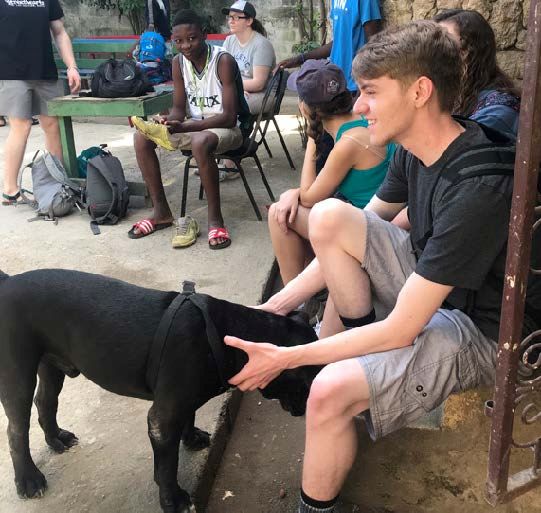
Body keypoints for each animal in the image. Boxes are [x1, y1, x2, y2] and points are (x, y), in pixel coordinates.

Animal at [0, 268, 320, 512]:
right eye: (308, 383)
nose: (307, 408)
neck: (224, 334)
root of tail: (8, 281)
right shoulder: (163, 419)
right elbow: (167, 465)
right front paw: (173, 499)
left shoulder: (182, 402)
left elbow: (190, 415)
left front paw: (191, 438)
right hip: (17, 375)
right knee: (16, 430)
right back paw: (29, 479)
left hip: (50, 365)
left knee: (45, 402)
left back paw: (56, 439)